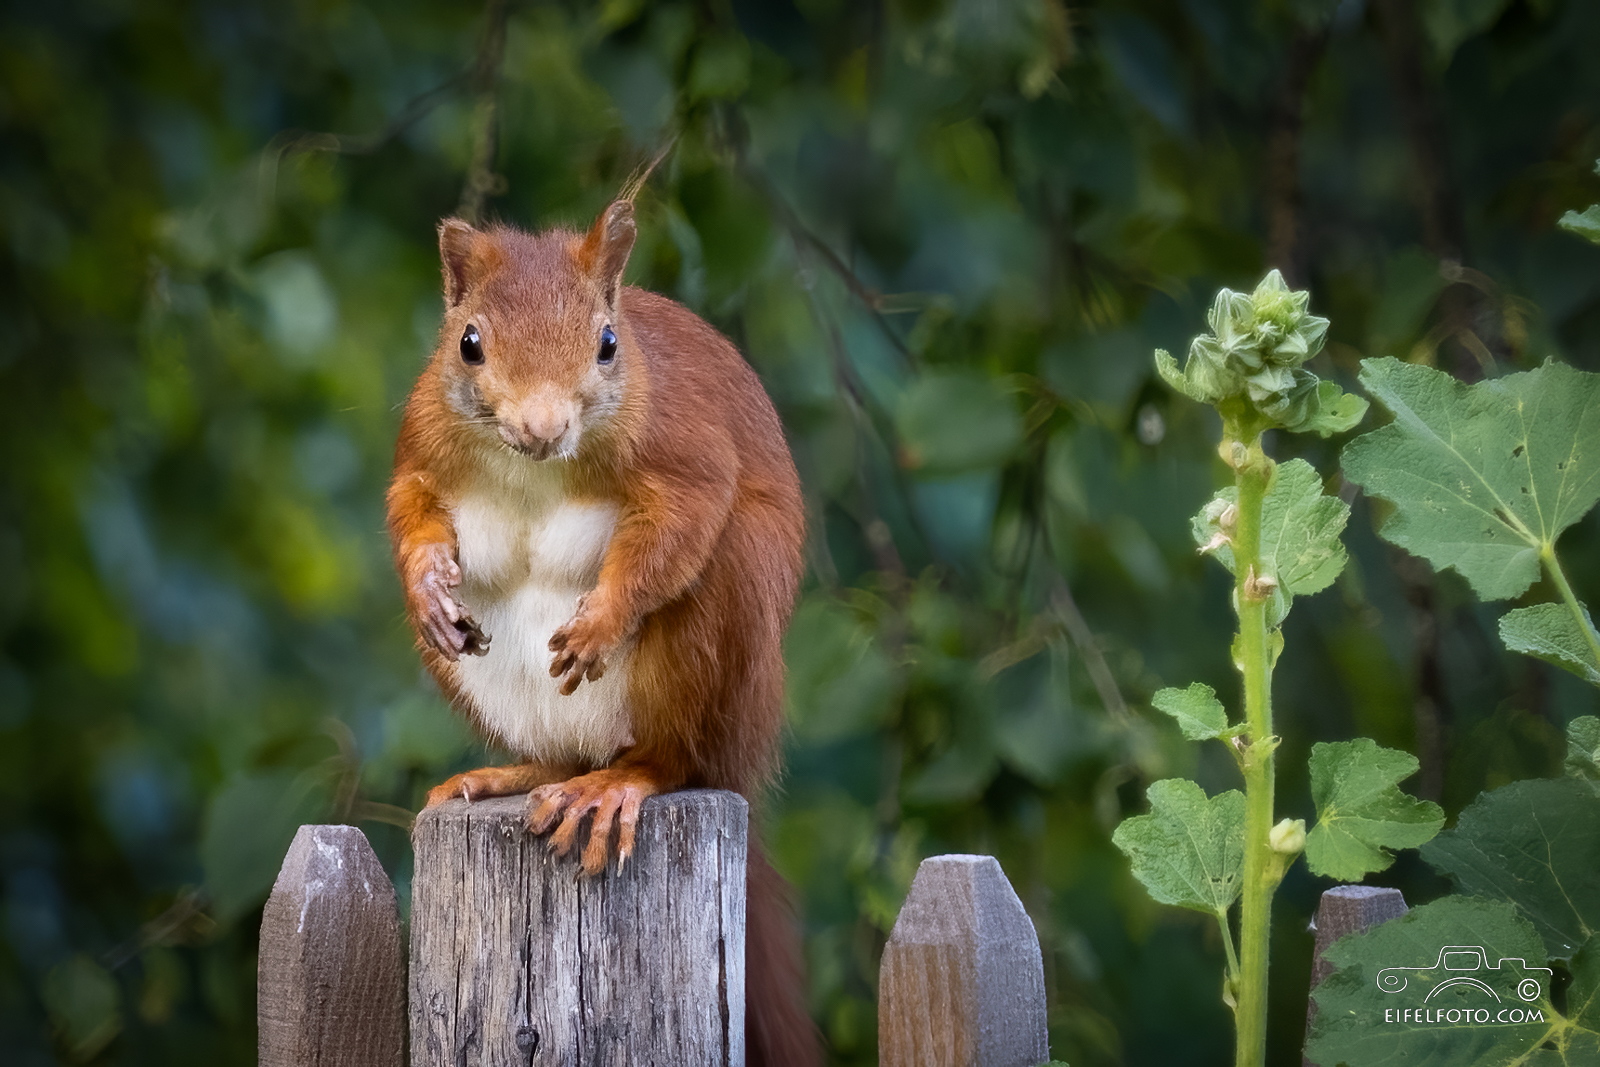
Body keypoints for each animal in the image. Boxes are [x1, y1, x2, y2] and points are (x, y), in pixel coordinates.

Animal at [382, 199, 819, 1067]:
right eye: (467, 342)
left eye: (608, 342)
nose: (541, 424)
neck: (531, 466)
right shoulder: (422, 445)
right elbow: (410, 507)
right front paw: (426, 588)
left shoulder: (686, 450)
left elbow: (677, 527)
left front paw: (601, 623)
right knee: (560, 752)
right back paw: (512, 774)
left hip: (720, 630)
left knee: (675, 756)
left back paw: (619, 783)